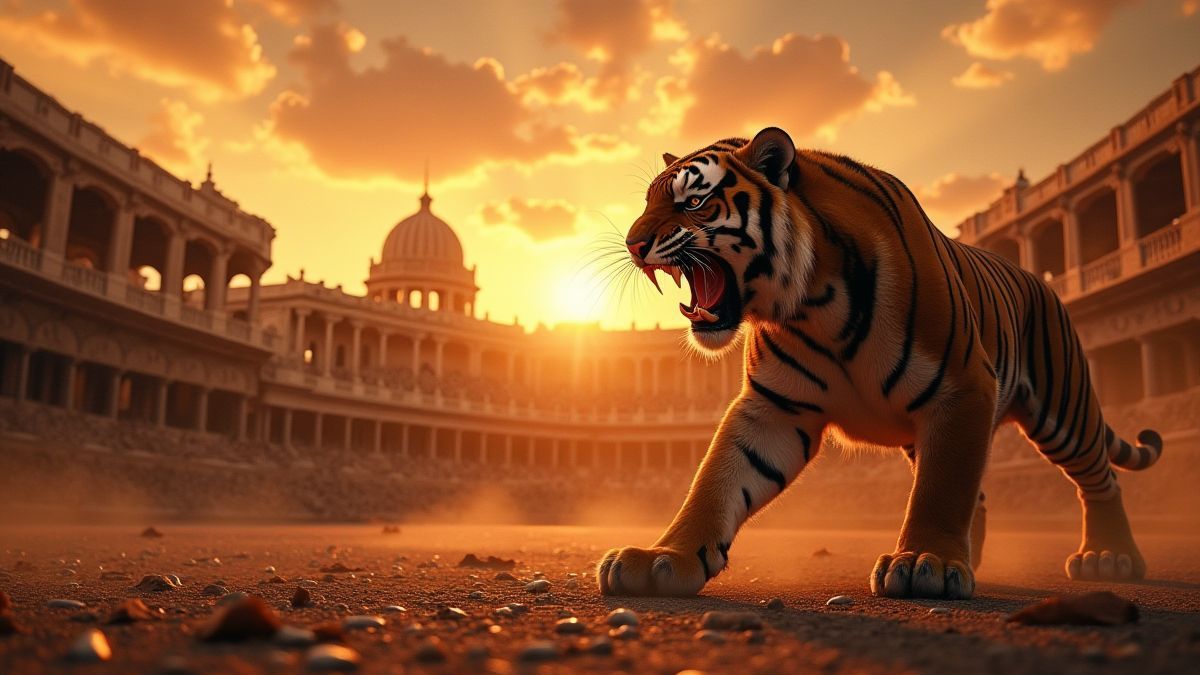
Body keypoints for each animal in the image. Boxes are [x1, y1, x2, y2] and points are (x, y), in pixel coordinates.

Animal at [597, 127, 1163, 599]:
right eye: (647, 202)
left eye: (694, 202)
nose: (632, 243)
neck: (813, 303)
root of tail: (1039, 281)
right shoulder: (773, 409)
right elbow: (716, 480)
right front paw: (662, 558)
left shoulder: (962, 388)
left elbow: (942, 488)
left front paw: (927, 561)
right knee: (978, 490)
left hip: (1062, 409)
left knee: (1098, 478)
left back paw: (1109, 556)